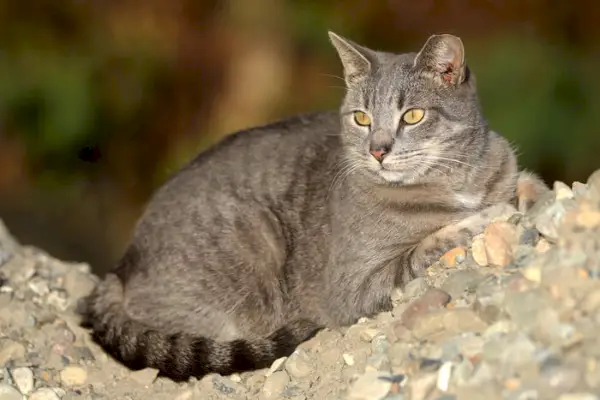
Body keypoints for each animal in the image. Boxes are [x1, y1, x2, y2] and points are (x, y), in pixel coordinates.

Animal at [82, 31, 552, 382]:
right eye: (361, 117)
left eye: (413, 116)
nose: (378, 150)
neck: (452, 180)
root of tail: (122, 266)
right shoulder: (355, 286)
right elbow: (429, 244)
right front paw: (485, 216)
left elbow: (526, 181)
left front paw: (531, 196)